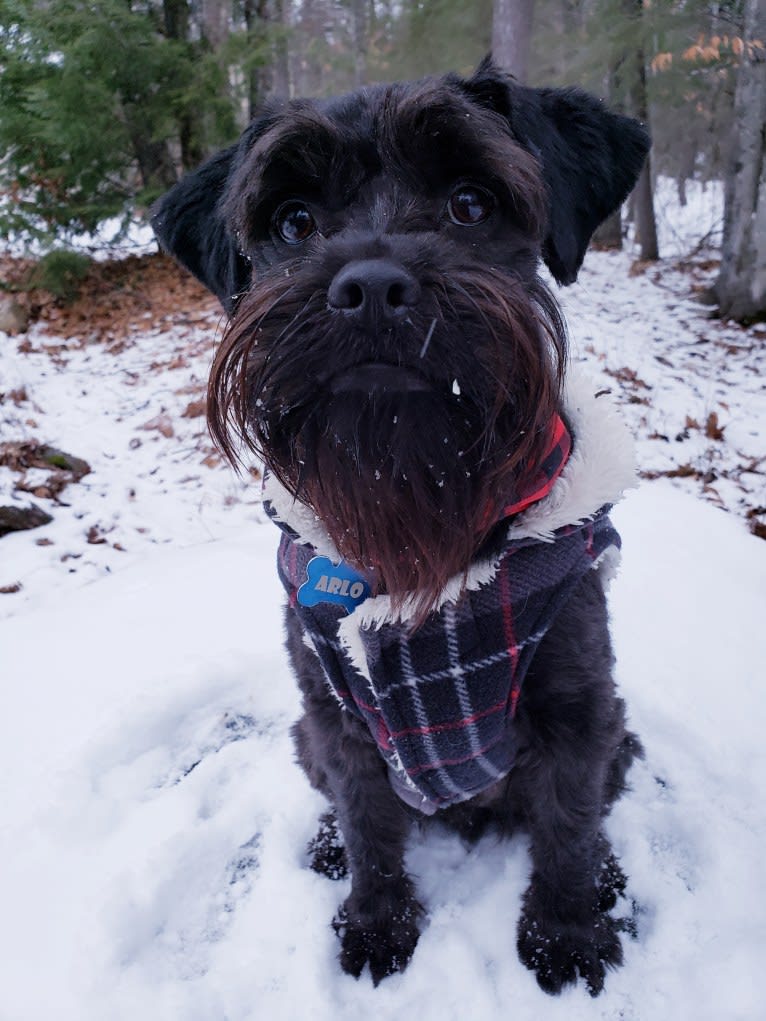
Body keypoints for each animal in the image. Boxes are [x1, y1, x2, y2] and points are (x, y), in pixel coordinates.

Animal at [153, 57, 649, 996]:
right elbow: (370, 830)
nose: (372, 287)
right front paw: (376, 923)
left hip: (621, 730)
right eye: (293, 219)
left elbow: (566, 828)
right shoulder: (340, 719)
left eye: (471, 202)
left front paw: (567, 934)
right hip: (304, 735)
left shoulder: (579, 710)